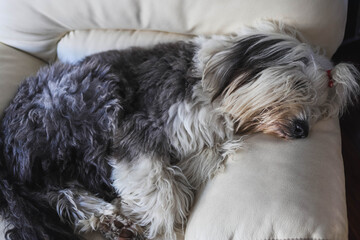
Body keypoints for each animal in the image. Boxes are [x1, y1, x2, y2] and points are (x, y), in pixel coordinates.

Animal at [0, 21, 358, 240]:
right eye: (299, 86)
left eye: (320, 108)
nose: (302, 130)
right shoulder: (135, 130)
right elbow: (162, 186)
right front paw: (164, 227)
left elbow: (194, 165)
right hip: (94, 91)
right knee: (58, 190)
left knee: (61, 193)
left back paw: (113, 221)